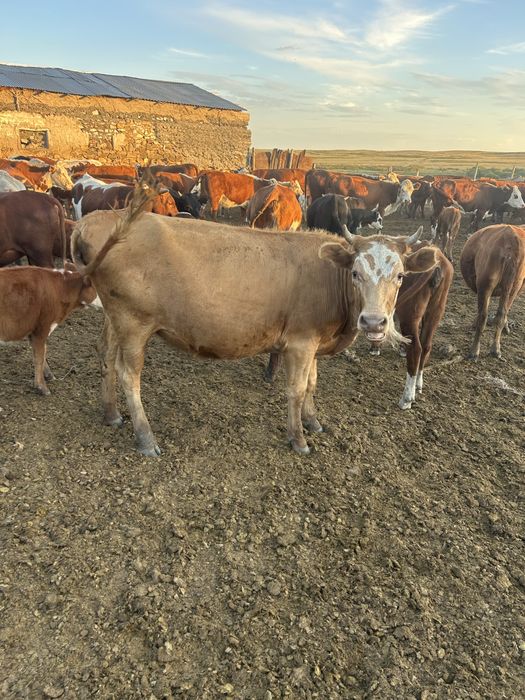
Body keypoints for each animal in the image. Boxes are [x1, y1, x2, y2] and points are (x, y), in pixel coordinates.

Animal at [0, 265, 98, 395]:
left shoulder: (35, 331)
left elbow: (42, 352)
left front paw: (49, 376)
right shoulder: (42, 328)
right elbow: (39, 357)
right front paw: (42, 388)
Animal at [72, 202, 437, 457]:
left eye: (400, 275)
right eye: (356, 273)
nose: (374, 322)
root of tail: (97, 220)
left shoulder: (313, 343)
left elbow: (313, 384)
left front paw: (313, 422)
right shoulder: (300, 343)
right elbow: (297, 389)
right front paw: (298, 438)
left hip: (115, 318)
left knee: (106, 355)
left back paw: (111, 414)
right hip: (134, 322)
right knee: (128, 374)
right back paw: (145, 438)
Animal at [460, 224, 525, 360]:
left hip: (486, 285)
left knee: (485, 316)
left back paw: (476, 350)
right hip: (510, 286)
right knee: (499, 314)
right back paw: (494, 349)